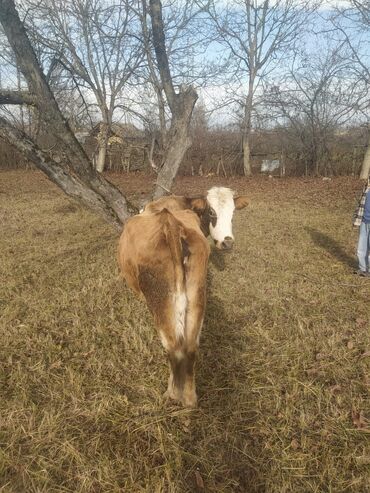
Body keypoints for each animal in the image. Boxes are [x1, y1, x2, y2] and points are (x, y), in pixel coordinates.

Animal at [117, 186, 247, 406]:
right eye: (212, 212)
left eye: (233, 213)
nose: (227, 242)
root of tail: (170, 223)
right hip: (196, 296)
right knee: (190, 347)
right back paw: (189, 398)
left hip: (162, 303)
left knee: (174, 348)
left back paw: (172, 395)